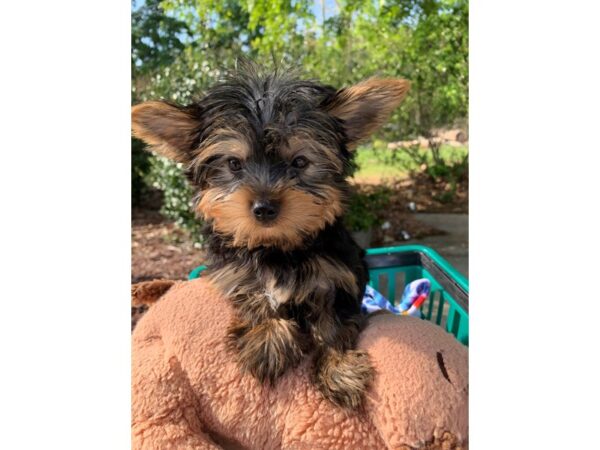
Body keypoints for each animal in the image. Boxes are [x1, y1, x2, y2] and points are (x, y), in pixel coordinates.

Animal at [133, 63, 410, 408]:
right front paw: (268, 339)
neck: (276, 247)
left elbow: (333, 325)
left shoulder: (338, 278)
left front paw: (339, 368)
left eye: (300, 162)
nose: (264, 208)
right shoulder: (232, 274)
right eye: (234, 164)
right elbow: (254, 295)